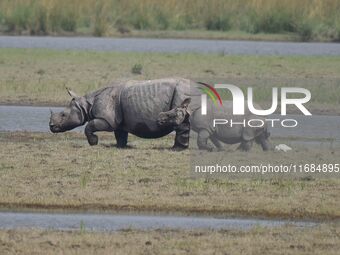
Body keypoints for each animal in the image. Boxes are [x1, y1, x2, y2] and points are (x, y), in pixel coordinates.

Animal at [49, 77, 194, 149]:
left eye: (63, 115)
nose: (51, 126)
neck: (86, 104)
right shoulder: (119, 120)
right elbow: (120, 134)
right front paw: (120, 147)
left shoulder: (107, 120)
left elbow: (89, 126)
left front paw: (94, 142)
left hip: (182, 93)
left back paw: (176, 149)